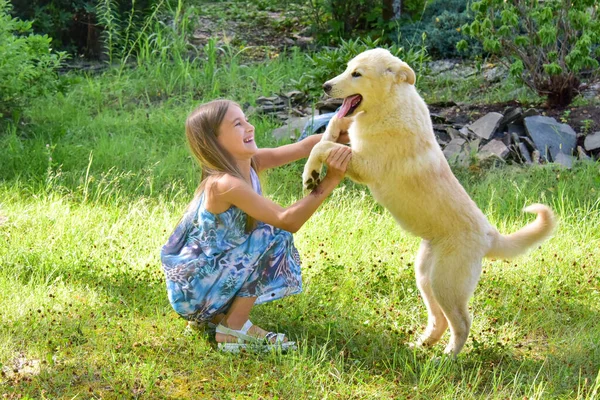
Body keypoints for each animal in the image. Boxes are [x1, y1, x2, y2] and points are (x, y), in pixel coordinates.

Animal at [302, 48, 556, 358]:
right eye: (347, 68)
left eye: (357, 74)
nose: (325, 86)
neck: (390, 104)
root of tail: (489, 235)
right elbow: (330, 132)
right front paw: (314, 169)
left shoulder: (366, 166)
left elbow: (323, 146)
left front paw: (310, 173)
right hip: (426, 275)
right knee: (440, 319)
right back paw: (421, 346)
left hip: (446, 282)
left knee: (462, 322)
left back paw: (447, 358)